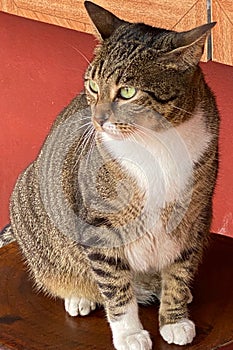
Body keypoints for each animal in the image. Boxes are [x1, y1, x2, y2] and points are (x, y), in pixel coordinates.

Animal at [9, 1, 218, 348]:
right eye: (93, 86)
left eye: (128, 92)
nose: (98, 119)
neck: (156, 142)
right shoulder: (100, 226)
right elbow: (116, 288)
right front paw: (130, 334)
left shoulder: (194, 216)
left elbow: (178, 272)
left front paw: (175, 320)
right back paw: (80, 296)